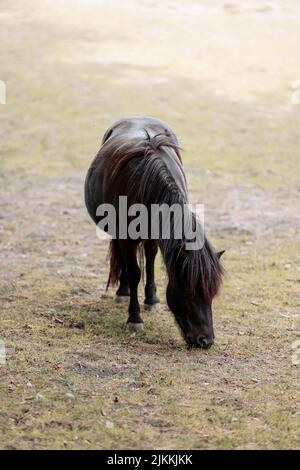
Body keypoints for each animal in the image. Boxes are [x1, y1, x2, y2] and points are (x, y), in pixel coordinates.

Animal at [84, 115, 223, 346]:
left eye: (212, 294)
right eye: (190, 293)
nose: (206, 341)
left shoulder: (156, 234)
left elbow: (149, 261)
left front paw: (151, 299)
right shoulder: (126, 237)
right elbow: (133, 272)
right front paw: (134, 318)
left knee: (148, 258)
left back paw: (150, 298)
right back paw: (123, 292)